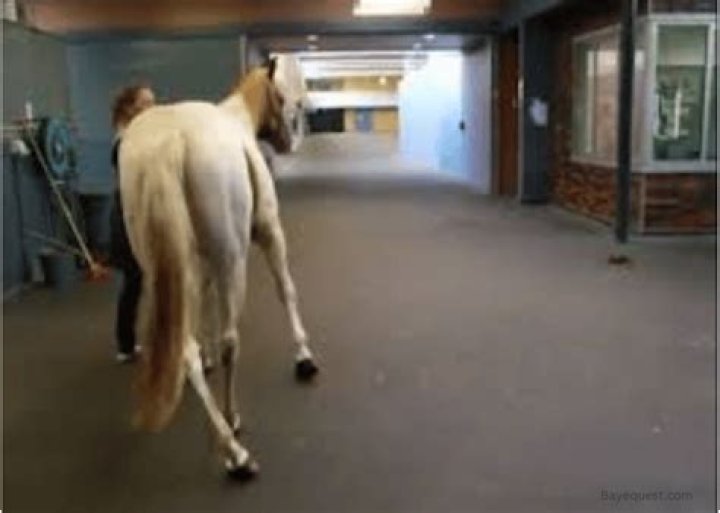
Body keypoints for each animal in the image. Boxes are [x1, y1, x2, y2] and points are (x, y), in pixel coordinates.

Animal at [118, 61, 319, 480]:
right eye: (283, 97)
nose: (289, 141)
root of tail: (170, 142)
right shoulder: (270, 232)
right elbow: (286, 290)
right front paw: (304, 357)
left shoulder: (199, 265)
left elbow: (202, 314)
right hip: (232, 259)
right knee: (230, 341)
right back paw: (235, 446)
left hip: (163, 265)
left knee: (186, 350)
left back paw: (227, 438)